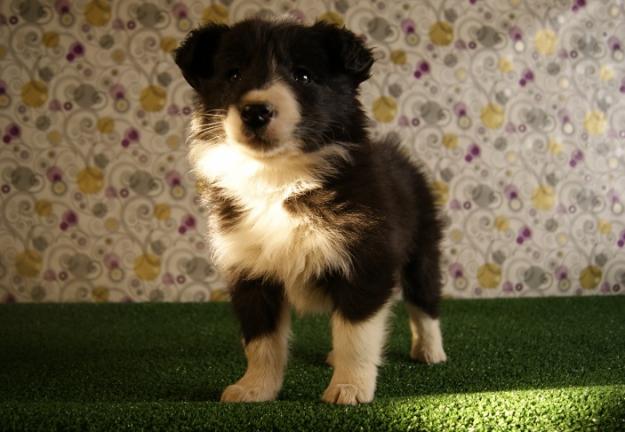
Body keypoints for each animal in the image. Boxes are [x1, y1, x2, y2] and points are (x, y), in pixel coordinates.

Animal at [174, 17, 444, 404]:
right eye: (233, 74)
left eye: (303, 75)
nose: (256, 111)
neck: (279, 177)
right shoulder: (249, 270)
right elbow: (261, 340)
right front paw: (255, 387)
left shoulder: (365, 260)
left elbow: (356, 335)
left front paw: (349, 388)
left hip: (422, 245)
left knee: (424, 301)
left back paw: (430, 351)